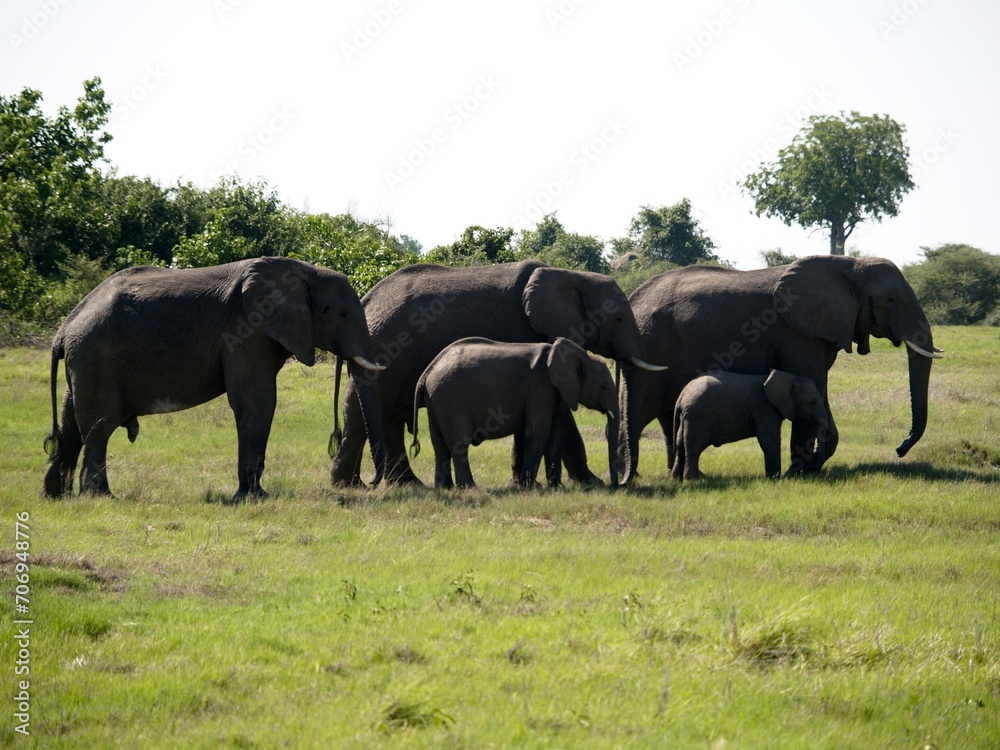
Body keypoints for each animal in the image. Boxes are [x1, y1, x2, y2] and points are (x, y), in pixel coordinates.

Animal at [42, 257, 386, 499]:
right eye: (342, 313)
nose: (370, 484)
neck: (306, 270)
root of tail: (64, 329)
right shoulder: (247, 328)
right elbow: (257, 400)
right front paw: (254, 498)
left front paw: (252, 495)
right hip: (98, 356)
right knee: (99, 425)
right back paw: (102, 497)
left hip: (85, 360)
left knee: (71, 425)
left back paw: (54, 497)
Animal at [410, 337, 619, 489]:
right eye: (603, 387)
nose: (615, 486)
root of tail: (426, 373)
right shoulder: (540, 387)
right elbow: (537, 432)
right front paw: (529, 487)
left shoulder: (554, 392)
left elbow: (553, 435)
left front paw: (556, 488)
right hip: (451, 398)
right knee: (459, 444)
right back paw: (469, 488)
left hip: (436, 400)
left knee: (439, 445)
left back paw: (445, 488)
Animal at [672, 369, 828, 480]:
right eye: (812, 402)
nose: (814, 467)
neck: (790, 378)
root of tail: (682, 395)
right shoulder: (765, 408)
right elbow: (769, 440)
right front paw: (775, 478)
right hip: (698, 416)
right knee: (694, 447)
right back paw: (692, 480)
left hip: (687, 417)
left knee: (680, 445)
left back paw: (676, 479)